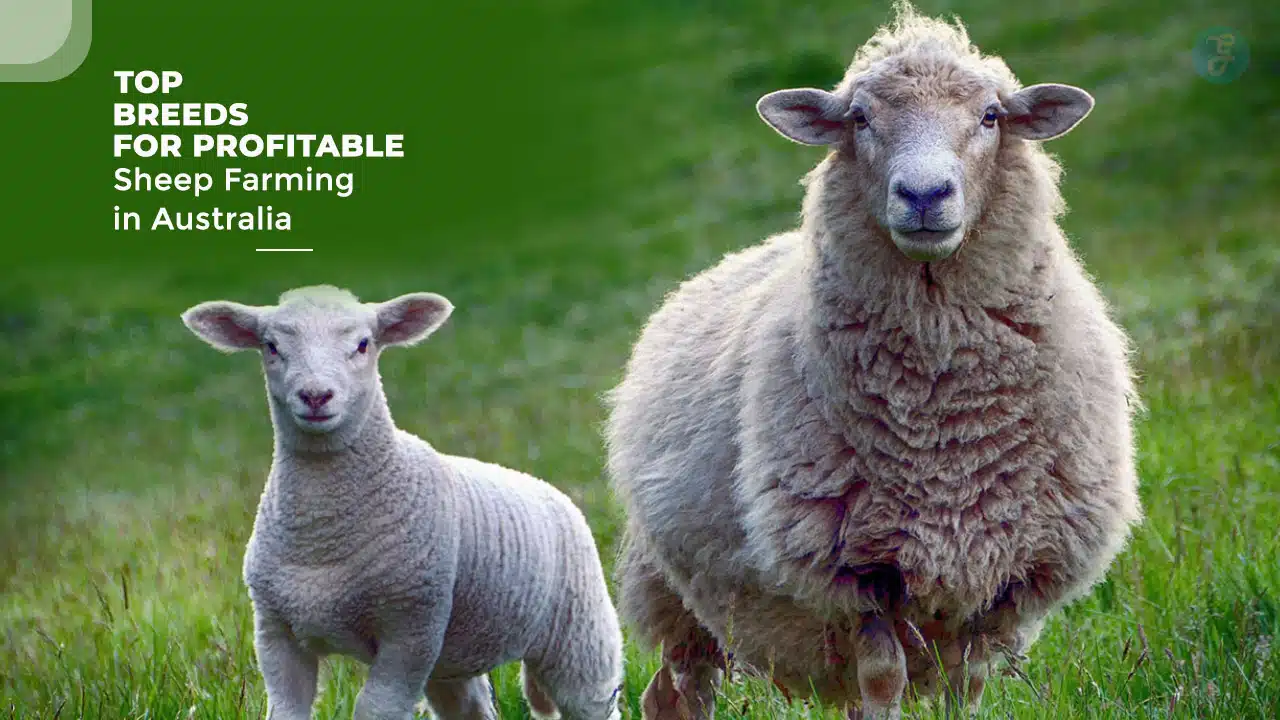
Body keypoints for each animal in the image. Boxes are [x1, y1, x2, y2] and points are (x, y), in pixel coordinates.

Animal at [181, 285, 624, 720]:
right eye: (271, 346)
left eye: (363, 344)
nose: (315, 396)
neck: (322, 536)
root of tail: (551, 491)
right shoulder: (275, 631)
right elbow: (287, 710)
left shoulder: (411, 628)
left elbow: (376, 708)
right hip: (452, 656)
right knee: (470, 708)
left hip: (581, 635)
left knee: (593, 700)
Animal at [604, 3, 1142, 718]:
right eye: (859, 118)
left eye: (991, 115)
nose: (924, 195)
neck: (945, 424)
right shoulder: (857, 572)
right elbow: (884, 678)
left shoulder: (1002, 574)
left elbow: (966, 688)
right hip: (672, 592)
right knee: (678, 691)